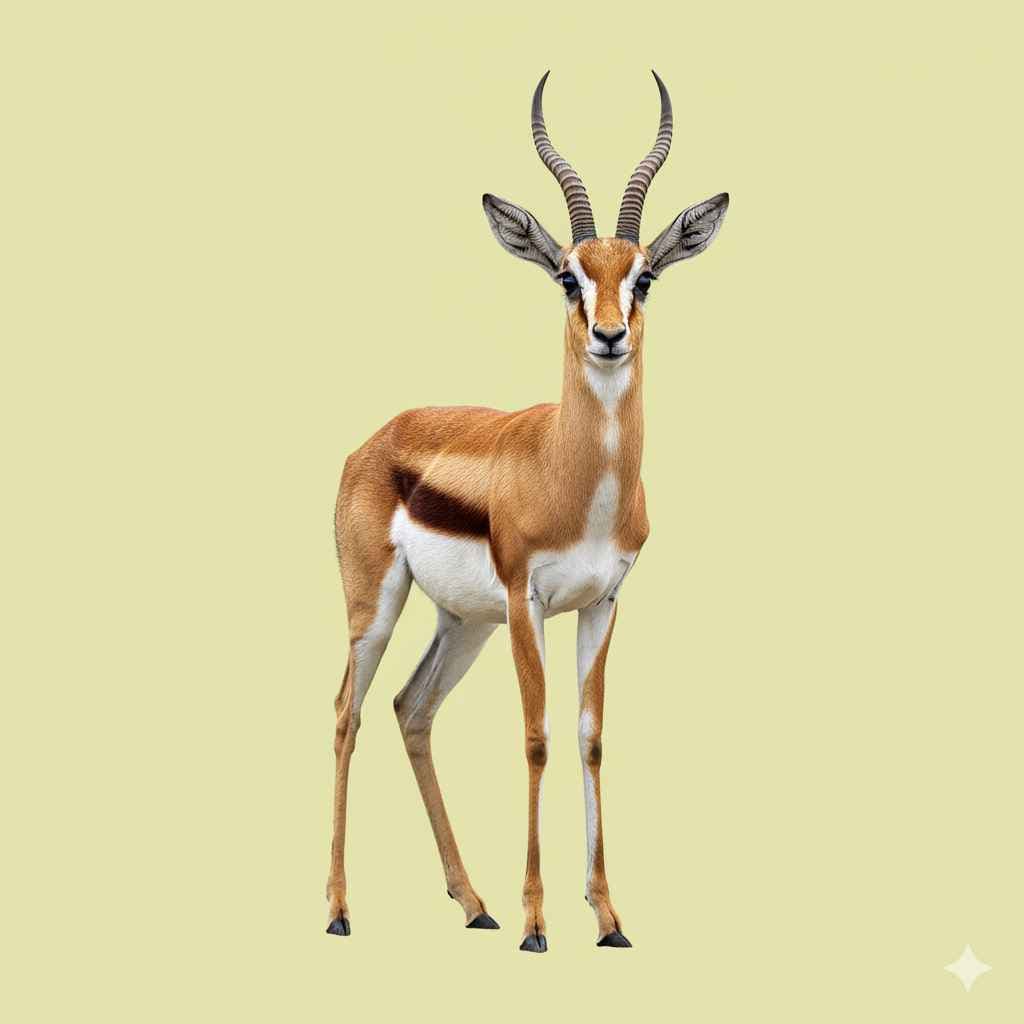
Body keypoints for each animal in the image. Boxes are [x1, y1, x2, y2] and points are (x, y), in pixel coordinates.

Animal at [326, 70, 728, 952]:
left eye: (644, 276)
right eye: (567, 277)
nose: (608, 336)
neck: (569, 474)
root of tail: (376, 438)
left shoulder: (604, 602)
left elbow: (590, 739)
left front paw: (608, 918)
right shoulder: (527, 601)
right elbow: (538, 739)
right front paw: (537, 922)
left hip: (461, 622)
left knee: (411, 709)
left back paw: (473, 903)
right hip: (379, 606)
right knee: (348, 710)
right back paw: (339, 911)